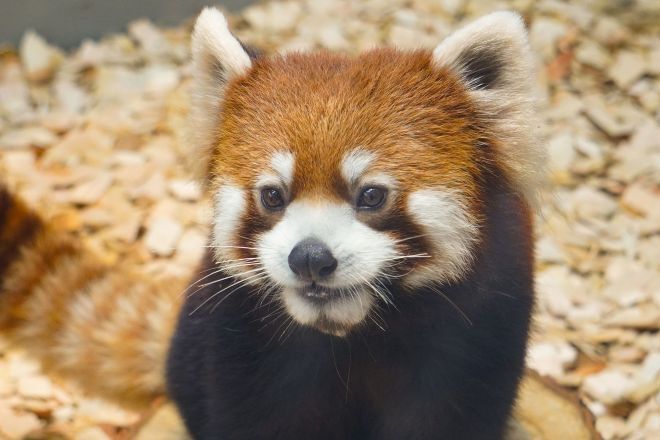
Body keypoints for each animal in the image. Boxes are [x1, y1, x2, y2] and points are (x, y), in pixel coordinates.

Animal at [2, 6, 544, 440]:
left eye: (370, 195)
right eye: (273, 195)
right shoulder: (241, 345)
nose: (310, 258)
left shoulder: (477, 334)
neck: (350, 336)